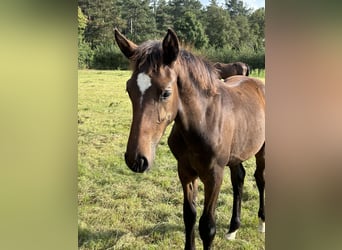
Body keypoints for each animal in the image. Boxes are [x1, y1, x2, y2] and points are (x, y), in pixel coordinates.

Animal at [113, 28, 266, 249]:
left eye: (166, 93)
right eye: (129, 89)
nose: (136, 160)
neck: (203, 122)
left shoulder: (214, 175)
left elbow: (207, 226)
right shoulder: (185, 171)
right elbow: (189, 216)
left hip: (262, 150)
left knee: (260, 178)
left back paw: (262, 222)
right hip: (236, 153)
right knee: (239, 179)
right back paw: (232, 229)